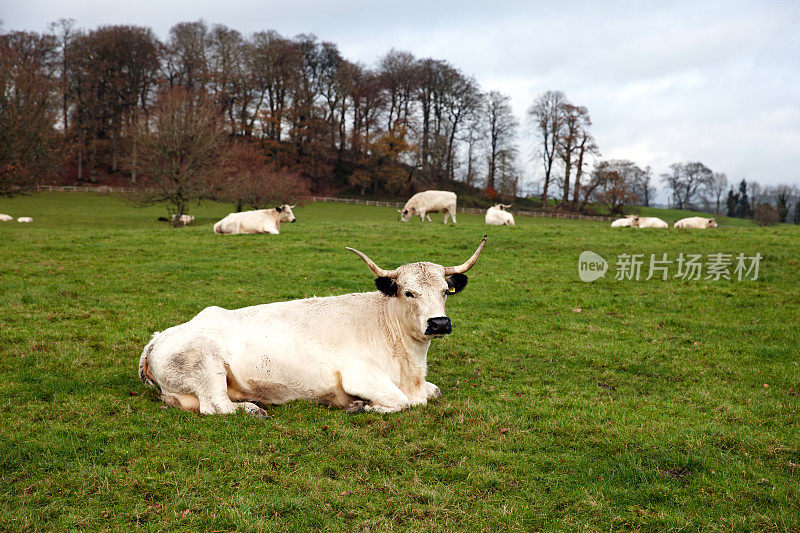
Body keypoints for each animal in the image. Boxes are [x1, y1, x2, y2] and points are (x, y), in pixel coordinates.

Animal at [139, 236, 488, 416]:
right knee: (216, 406)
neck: (411, 365)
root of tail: (159, 337)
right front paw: (362, 406)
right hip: (206, 366)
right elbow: (402, 403)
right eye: (408, 292)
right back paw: (252, 409)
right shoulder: (359, 375)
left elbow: (435, 392)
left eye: (444, 291)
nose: (439, 322)